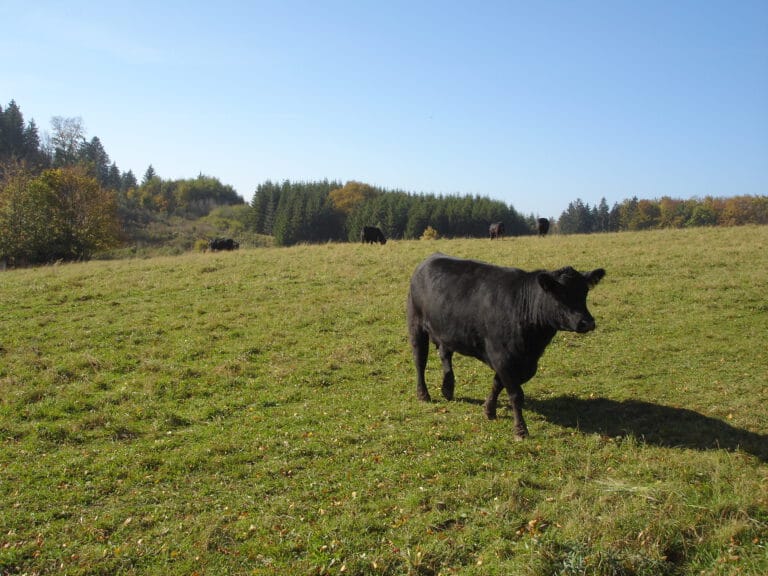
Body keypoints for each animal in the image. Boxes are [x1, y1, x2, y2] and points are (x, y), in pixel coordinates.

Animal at [404, 252, 608, 436]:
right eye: (560, 294)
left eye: (585, 292)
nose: (587, 322)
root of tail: (429, 259)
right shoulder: (502, 357)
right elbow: (516, 394)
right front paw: (520, 430)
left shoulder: (524, 362)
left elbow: (498, 383)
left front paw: (489, 410)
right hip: (416, 326)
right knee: (420, 361)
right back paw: (423, 395)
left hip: (446, 330)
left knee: (445, 354)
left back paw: (447, 388)